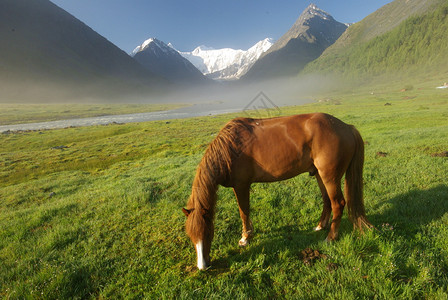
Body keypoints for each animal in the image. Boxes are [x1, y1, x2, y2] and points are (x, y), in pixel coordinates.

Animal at [182, 112, 372, 270]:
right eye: (190, 235)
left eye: (208, 233)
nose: (203, 267)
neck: (230, 148)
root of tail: (346, 127)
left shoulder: (241, 185)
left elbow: (244, 211)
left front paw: (245, 238)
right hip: (319, 174)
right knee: (327, 200)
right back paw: (320, 226)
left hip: (330, 177)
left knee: (338, 203)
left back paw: (330, 238)